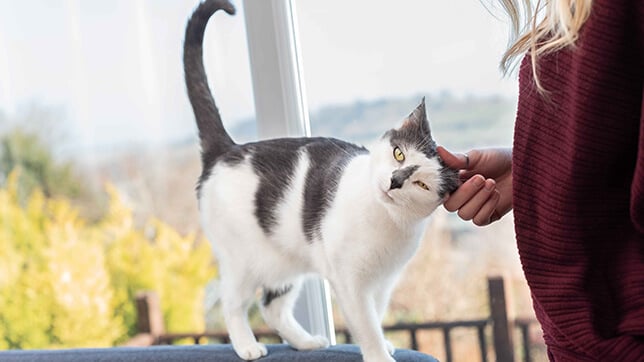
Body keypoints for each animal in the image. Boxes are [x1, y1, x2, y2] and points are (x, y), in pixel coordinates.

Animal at [184, 1, 460, 360]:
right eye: (399, 154)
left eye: (423, 184)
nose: (395, 181)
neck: (384, 221)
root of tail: (227, 149)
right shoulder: (350, 282)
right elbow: (366, 324)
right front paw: (378, 353)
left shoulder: (383, 282)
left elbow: (377, 314)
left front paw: (384, 344)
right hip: (242, 262)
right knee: (234, 303)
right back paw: (246, 346)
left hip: (283, 265)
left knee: (272, 308)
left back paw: (305, 342)